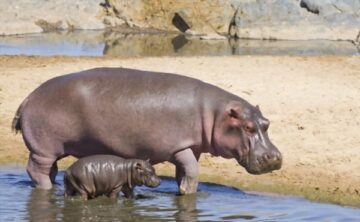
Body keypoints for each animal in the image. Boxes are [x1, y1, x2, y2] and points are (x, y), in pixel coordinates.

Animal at [12, 67, 282, 194]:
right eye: (247, 127)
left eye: (266, 123)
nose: (275, 157)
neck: (214, 114)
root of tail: (28, 97)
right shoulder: (180, 147)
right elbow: (193, 172)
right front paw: (189, 192)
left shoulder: (191, 147)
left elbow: (185, 172)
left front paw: (183, 190)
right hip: (44, 149)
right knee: (36, 169)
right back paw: (47, 190)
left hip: (52, 150)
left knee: (50, 170)